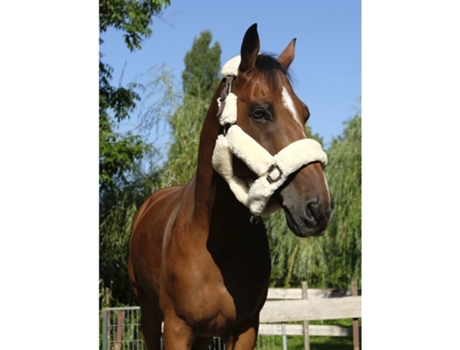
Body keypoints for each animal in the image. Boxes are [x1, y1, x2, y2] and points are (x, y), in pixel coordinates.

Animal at [128, 23, 334, 348]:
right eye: (260, 112)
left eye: (305, 112)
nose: (319, 208)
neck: (217, 242)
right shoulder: (176, 328)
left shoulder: (246, 328)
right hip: (148, 313)